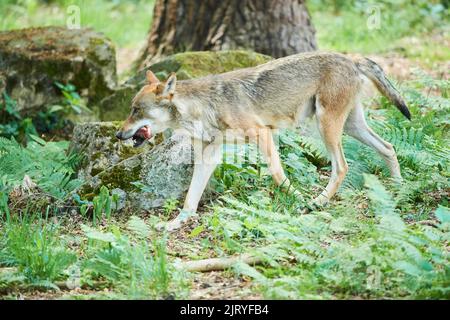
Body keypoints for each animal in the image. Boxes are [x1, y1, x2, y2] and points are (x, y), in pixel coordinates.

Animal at [115, 51, 408, 231]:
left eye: (136, 110)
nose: (118, 134)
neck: (204, 108)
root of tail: (349, 57)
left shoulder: (263, 134)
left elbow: (278, 174)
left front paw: (298, 199)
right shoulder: (208, 156)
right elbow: (190, 198)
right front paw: (176, 223)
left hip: (328, 127)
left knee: (342, 167)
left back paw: (318, 202)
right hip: (350, 127)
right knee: (389, 148)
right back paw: (398, 189)